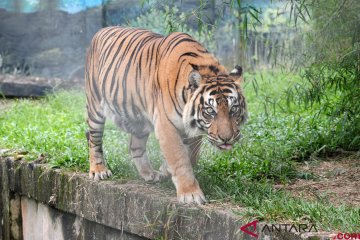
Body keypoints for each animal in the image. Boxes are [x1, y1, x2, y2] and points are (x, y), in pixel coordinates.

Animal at [84, 27, 248, 205]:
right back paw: (99, 170)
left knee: (135, 146)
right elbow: (180, 158)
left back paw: (149, 173)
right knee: (94, 139)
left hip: (139, 120)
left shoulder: (193, 129)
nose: (227, 138)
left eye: (234, 109)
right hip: (95, 106)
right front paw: (190, 194)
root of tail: (100, 30)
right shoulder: (166, 126)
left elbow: (191, 156)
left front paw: (165, 170)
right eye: (211, 111)